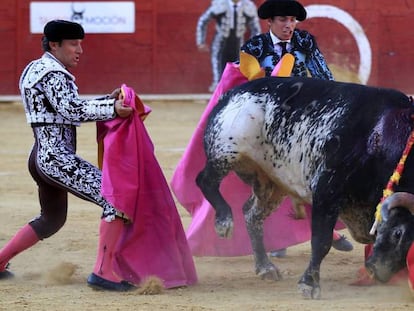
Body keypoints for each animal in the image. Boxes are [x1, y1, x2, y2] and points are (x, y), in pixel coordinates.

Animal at [196, 76, 414, 300]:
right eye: (398, 233)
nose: (378, 272)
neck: (383, 135)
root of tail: (231, 93)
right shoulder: (327, 190)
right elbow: (321, 241)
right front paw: (309, 284)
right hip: (226, 152)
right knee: (205, 180)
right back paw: (224, 222)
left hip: (271, 184)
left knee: (251, 214)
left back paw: (265, 267)